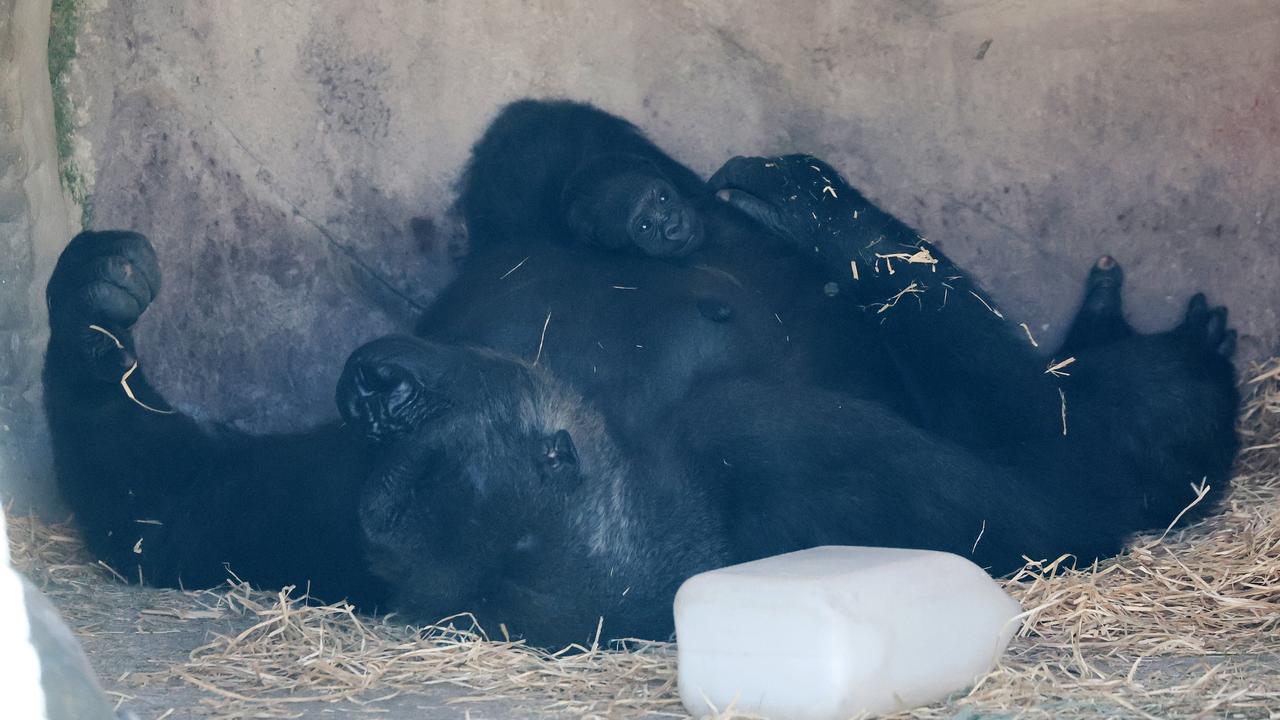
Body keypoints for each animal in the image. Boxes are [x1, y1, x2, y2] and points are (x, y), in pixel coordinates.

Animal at [42, 101, 1239, 645]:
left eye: (401, 413)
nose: (370, 385)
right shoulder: (796, 451)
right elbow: (1059, 487)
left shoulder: (313, 517)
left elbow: (165, 505)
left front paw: (89, 310)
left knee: (543, 150)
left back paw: (634, 202)